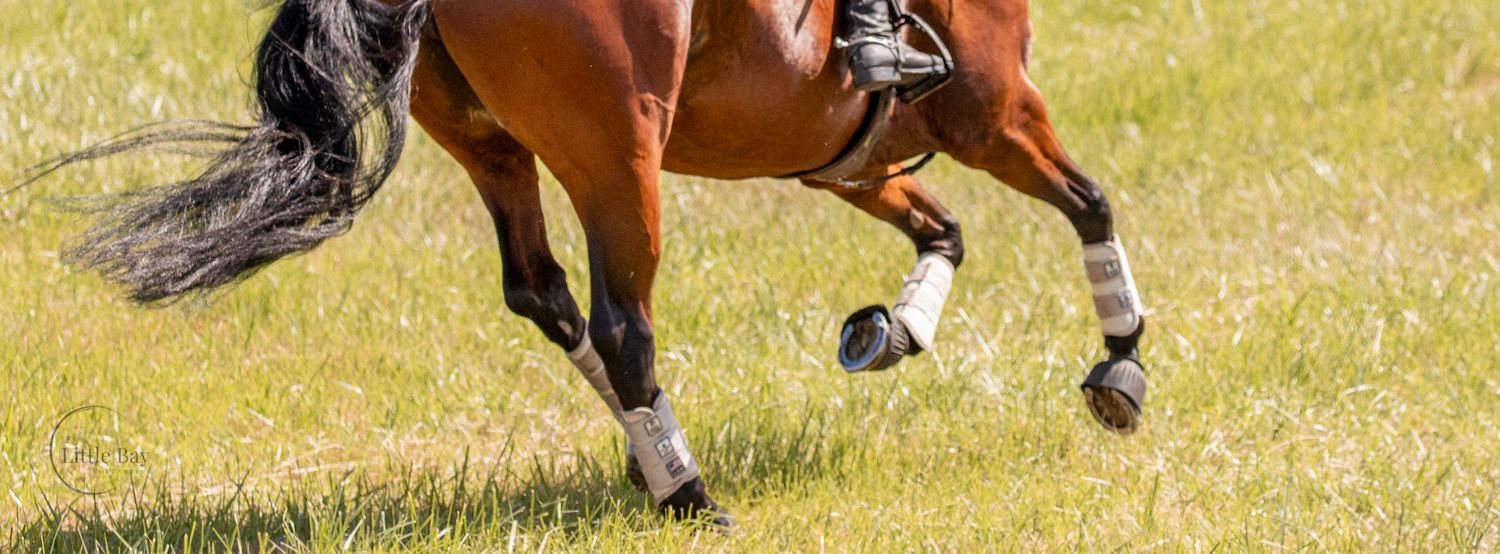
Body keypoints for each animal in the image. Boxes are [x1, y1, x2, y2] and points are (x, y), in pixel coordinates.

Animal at [23, 0, 1149, 526]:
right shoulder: (993, 108)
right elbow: (1090, 200)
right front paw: (1122, 363)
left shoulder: (841, 154)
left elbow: (943, 229)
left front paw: (897, 326)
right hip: (619, 152)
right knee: (620, 320)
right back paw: (690, 495)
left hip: (492, 142)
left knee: (543, 292)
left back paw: (650, 461)